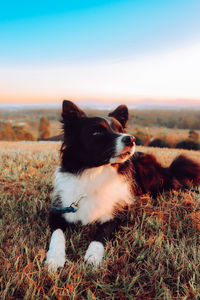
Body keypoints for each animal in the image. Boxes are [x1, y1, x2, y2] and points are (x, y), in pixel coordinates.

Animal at [45, 101, 200, 272]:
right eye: (97, 132)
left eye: (120, 130)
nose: (131, 138)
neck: (94, 175)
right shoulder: (58, 210)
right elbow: (57, 234)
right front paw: (55, 258)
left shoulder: (116, 214)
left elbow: (101, 234)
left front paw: (92, 257)